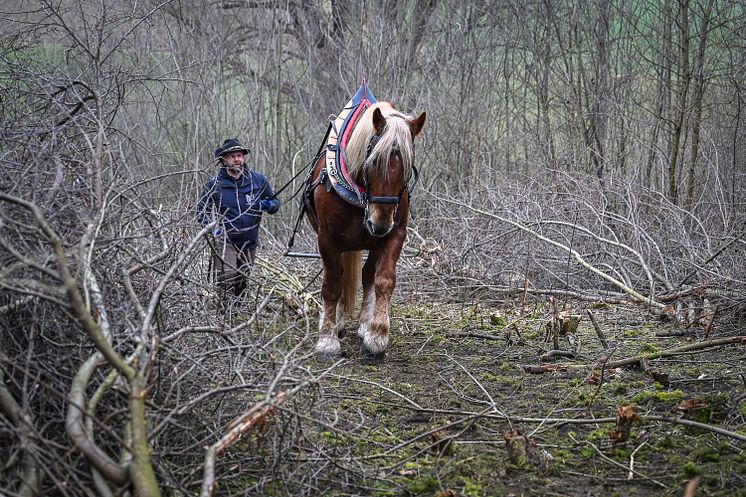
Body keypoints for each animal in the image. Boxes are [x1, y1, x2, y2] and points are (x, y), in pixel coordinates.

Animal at [306, 101, 424, 356]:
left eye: (408, 168)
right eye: (373, 162)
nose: (379, 224)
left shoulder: (395, 235)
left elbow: (383, 280)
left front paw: (377, 334)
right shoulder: (327, 239)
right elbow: (332, 285)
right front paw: (327, 339)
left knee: (368, 275)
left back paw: (364, 323)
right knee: (339, 275)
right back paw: (336, 322)